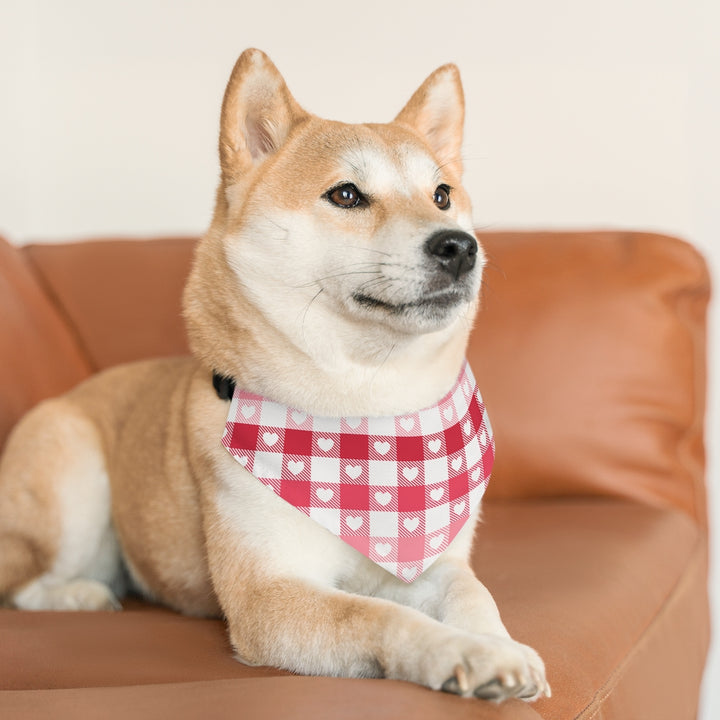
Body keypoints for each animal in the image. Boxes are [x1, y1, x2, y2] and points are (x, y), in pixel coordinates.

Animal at [0, 50, 548, 704]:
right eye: (346, 194)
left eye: (442, 194)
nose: (460, 247)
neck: (363, 412)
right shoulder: (270, 596)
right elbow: (379, 616)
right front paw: (463, 652)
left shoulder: (434, 561)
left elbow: (472, 594)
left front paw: (499, 644)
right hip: (72, 479)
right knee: (24, 583)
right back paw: (80, 594)